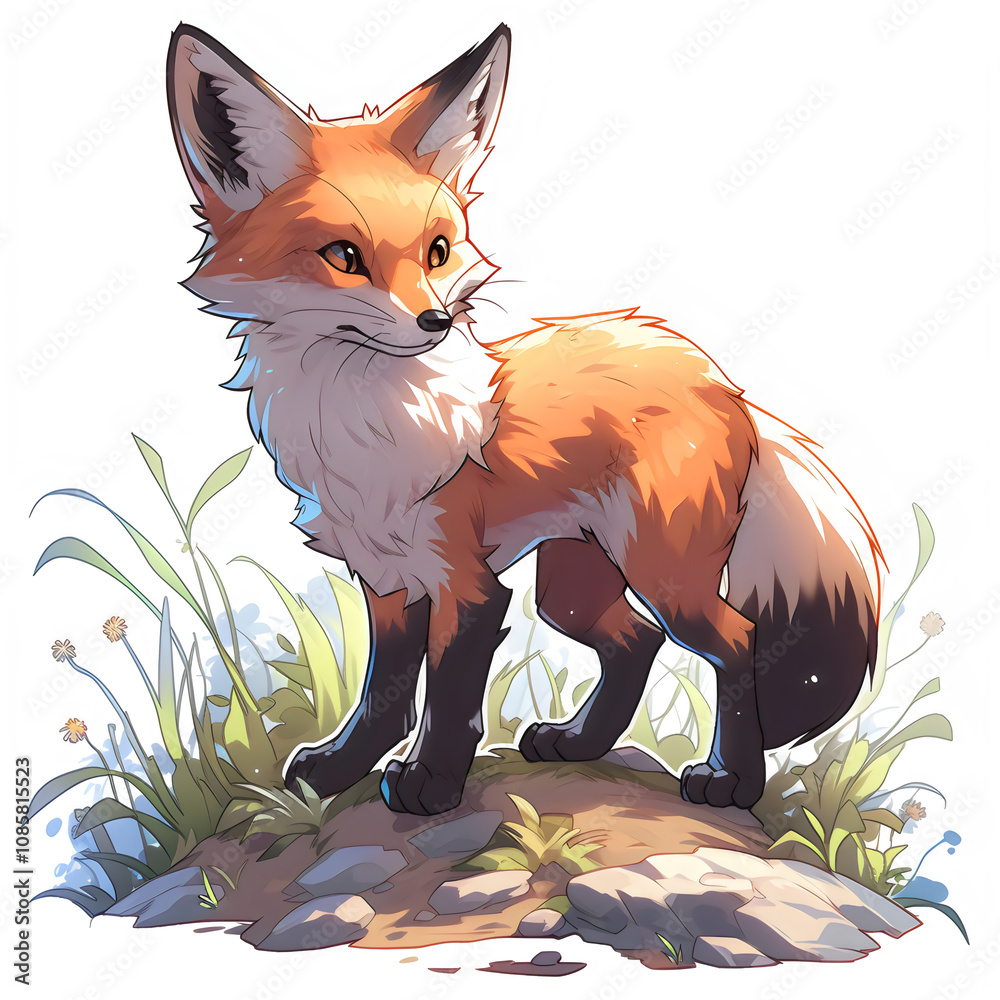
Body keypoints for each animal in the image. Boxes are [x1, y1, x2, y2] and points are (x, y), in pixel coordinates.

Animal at [166, 23, 882, 816]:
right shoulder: (386, 575)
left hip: (664, 576)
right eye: (344, 256)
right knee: (635, 641)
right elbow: (384, 695)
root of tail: (726, 385)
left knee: (738, 638)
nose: (436, 321)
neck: (366, 425)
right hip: (575, 588)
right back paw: (580, 743)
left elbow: (449, 695)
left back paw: (731, 780)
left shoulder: (467, 582)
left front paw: (431, 782)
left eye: (437, 251)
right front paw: (337, 771)